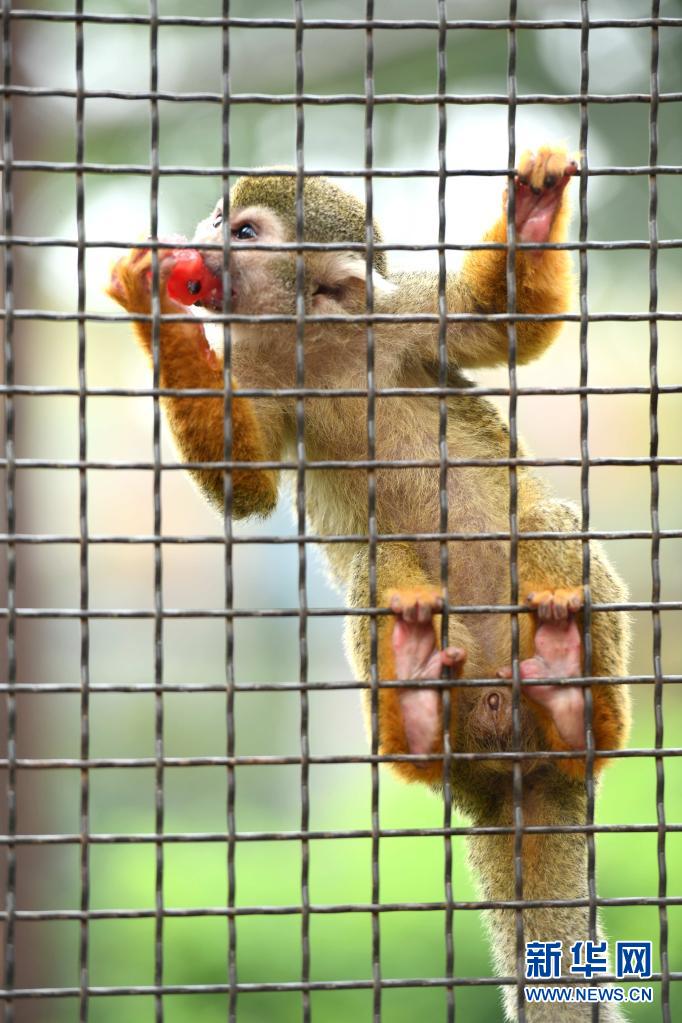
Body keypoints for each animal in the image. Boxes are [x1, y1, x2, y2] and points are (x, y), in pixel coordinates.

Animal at [107, 146, 633, 1023]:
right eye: (215, 221)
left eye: (242, 233)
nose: (199, 249)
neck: (316, 341)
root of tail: (508, 769)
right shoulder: (255, 371)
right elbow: (245, 484)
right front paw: (158, 310)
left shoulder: (399, 318)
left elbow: (499, 318)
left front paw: (530, 212)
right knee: (373, 576)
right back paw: (420, 706)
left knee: (546, 520)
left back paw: (572, 698)